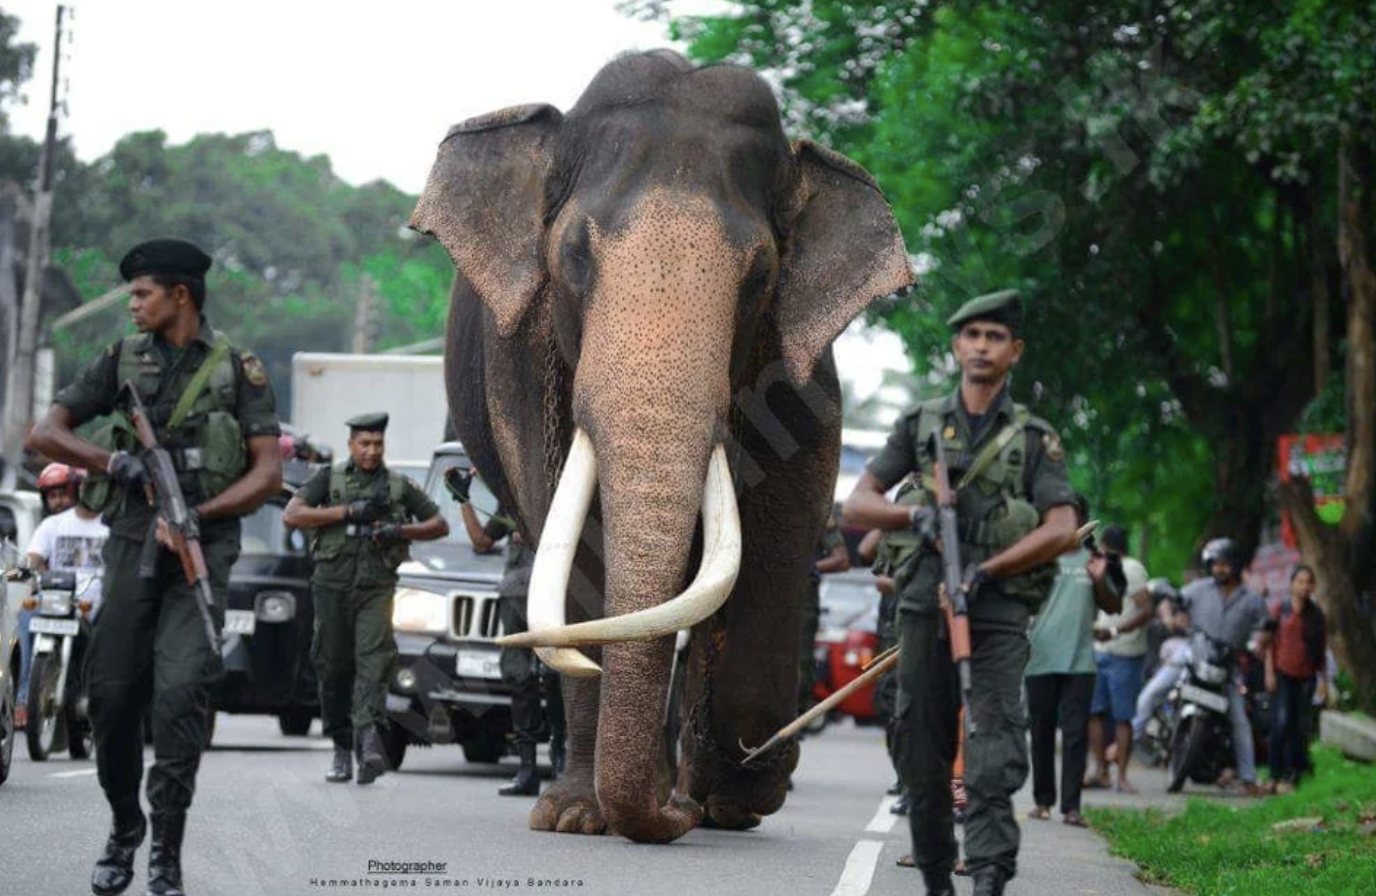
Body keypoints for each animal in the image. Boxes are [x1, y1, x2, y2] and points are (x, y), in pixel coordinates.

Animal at [412, 52, 913, 842]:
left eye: (761, 277)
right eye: (574, 256)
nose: (671, 815)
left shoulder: (801, 372)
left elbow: (777, 536)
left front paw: (737, 794)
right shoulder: (523, 367)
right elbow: (578, 545)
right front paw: (577, 817)